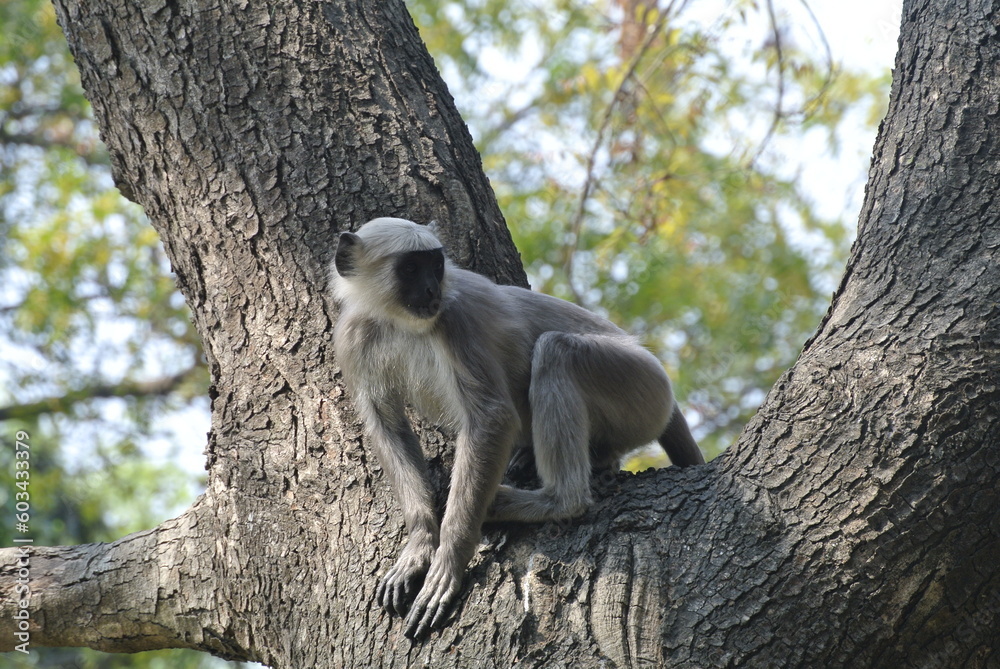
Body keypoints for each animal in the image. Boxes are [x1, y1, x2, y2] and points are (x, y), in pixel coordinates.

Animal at [331, 217, 703, 638]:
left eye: (435, 266)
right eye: (411, 268)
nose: (430, 289)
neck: (401, 323)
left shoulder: (457, 320)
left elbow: (492, 417)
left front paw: (449, 559)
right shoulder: (352, 334)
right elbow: (386, 425)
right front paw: (420, 543)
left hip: (641, 386)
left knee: (557, 351)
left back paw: (553, 501)